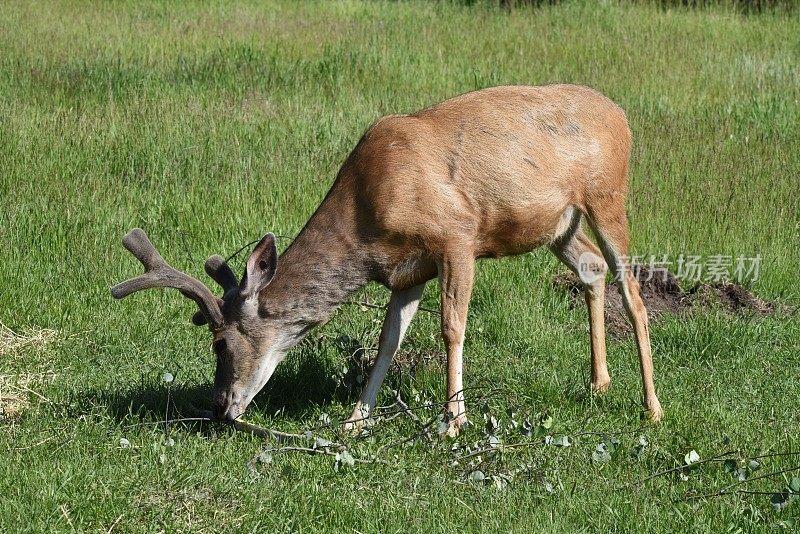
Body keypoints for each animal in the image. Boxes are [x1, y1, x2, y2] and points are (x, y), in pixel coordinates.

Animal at [112, 82, 664, 436]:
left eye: (221, 343)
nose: (219, 408)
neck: (367, 215)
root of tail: (622, 116)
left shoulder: (457, 236)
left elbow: (452, 327)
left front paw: (454, 422)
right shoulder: (406, 271)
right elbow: (387, 344)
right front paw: (355, 421)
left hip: (608, 195)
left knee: (632, 288)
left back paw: (651, 406)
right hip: (558, 225)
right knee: (591, 267)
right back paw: (599, 383)